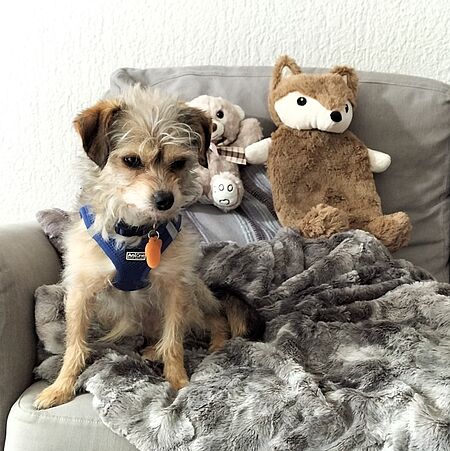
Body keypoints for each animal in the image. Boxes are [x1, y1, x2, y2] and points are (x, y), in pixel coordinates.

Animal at [35, 86, 264, 409]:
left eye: (178, 163)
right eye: (131, 160)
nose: (165, 200)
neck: (136, 231)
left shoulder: (175, 287)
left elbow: (174, 342)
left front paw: (178, 382)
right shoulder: (80, 291)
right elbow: (74, 346)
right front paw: (61, 387)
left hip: (193, 290)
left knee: (213, 319)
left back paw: (214, 345)